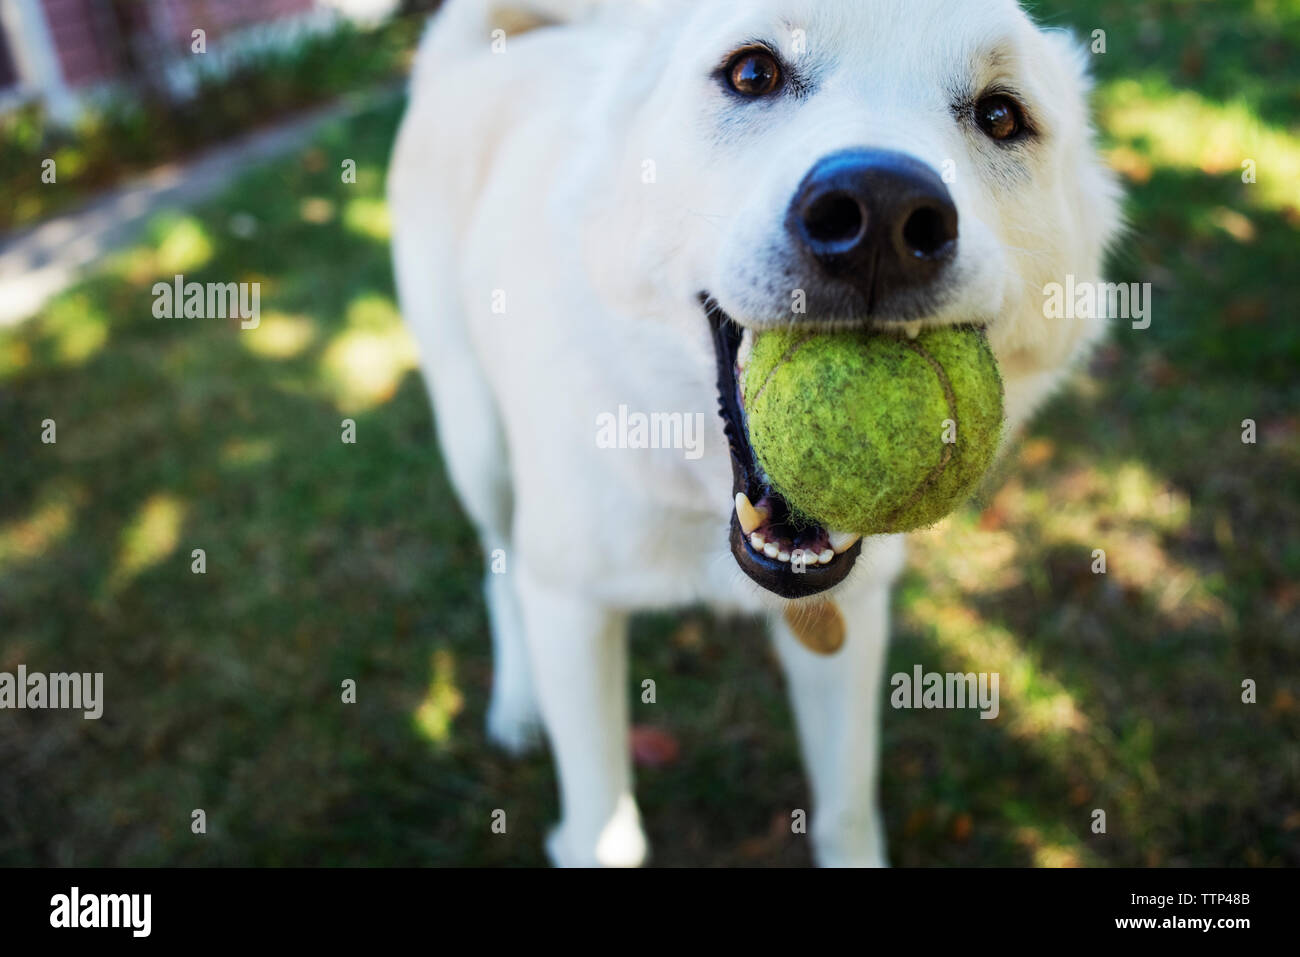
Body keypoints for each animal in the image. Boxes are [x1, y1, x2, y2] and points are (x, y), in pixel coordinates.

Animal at [384, 0, 1118, 868]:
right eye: (752, 72)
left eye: (1002, 116)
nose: (880, 214)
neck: (702, 490)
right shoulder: (572, 609)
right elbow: (604, 829)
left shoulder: (851, 624)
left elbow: (847, 813)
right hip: (478, 443)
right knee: (499, 567)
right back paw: (518, 704)